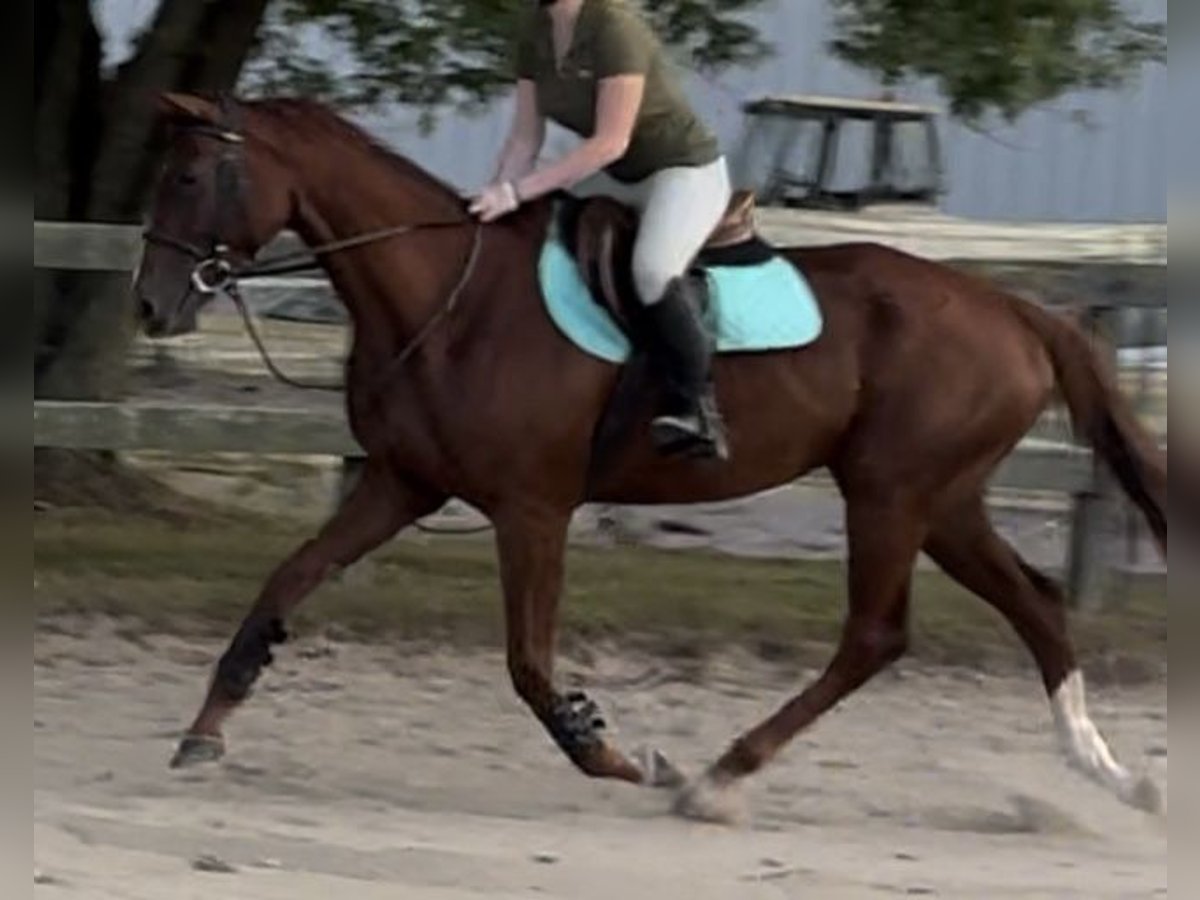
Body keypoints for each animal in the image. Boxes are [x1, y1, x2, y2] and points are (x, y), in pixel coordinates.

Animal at [138, 95, 1161, 820]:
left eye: (189, 177)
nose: (152, 305)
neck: (449, 301)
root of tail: (1016, 309)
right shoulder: (401, 485)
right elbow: (284, 585)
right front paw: (203, 733)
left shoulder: (532, 507)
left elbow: (529, 663)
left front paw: (617, 755)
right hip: (942, 502)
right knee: (1035, 603)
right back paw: (1107, 772)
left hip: (891, 493)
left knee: (877, 635)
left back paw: (715, 778)